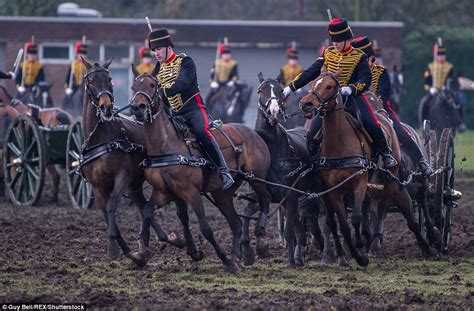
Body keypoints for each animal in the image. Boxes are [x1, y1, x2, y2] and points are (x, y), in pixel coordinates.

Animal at [78, 58, 184, 264]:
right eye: (91, 81)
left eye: (110, 80)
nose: (106, 108)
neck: (100, 140)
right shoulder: (97, 186)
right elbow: (106, 214)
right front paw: (128, 252)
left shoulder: (123, 176)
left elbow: (112, 206)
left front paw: (113, 249)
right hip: (134, 186)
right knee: (144, 208)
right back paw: (158, 241)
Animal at [130, 69, 272, 274]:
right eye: (134, 87)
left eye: (152, 85)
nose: (138, 108)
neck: (166, 145)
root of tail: (254, 133)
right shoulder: (164, 192)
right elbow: (148, 211)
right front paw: (142, 252)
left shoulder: (192, 192)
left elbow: (205, 228)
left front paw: (223, 260)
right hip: (221, 193)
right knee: (236, 223)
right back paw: (237, 256)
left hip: (257, 179)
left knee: (265, 200)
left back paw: (259, 243)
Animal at [300, 72, 436, 266]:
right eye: (312, 83)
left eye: (329, 86)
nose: (307, 104)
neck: (339, 143)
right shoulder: (332, 191)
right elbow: (339, 223)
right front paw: (348, 254)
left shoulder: (360, 182)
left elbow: (357, 218)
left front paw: (360, 247)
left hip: (398, 183)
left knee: (413, 207)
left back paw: (429, 242)